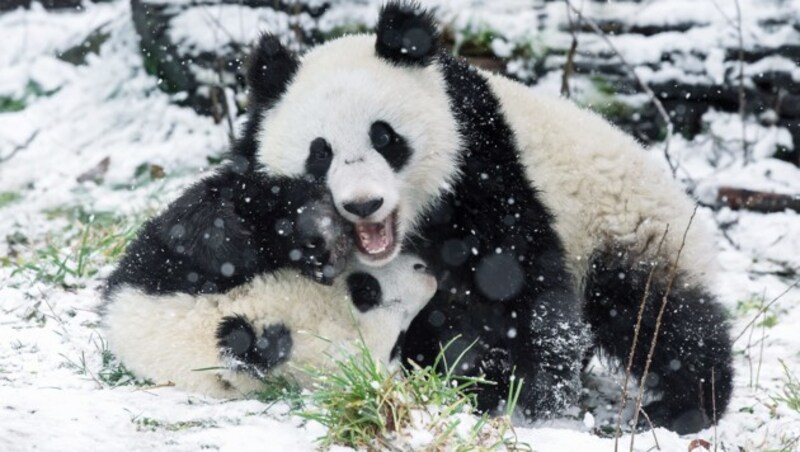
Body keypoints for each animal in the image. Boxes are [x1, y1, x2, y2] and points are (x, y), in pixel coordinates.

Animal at [241, 0, 736, 434]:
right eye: (320, 153)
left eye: (385, 138)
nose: (364, 204)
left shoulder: (480, 164)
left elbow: (513, 283)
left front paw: (532, 401)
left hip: (630, 226)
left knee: (657, 315)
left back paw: (687, 405)